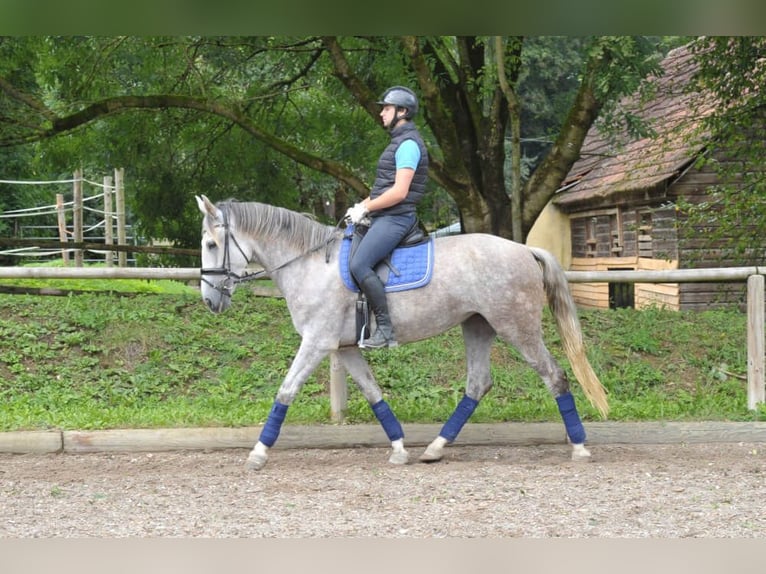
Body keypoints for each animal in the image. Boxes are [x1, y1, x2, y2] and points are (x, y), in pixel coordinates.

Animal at [195, 195, 608, 472]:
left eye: (212, 244)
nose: (210, 300)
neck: (310, 264)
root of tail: (524, 250)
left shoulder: (316, 343)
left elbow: (286, 391)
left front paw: (257, 454)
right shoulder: (345, 348)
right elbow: (373, 393)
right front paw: (398, 448)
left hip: (517, 327)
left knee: (554, 376)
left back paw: (580, 448)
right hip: (478, 325)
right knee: (478, 384)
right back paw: (436, 448)